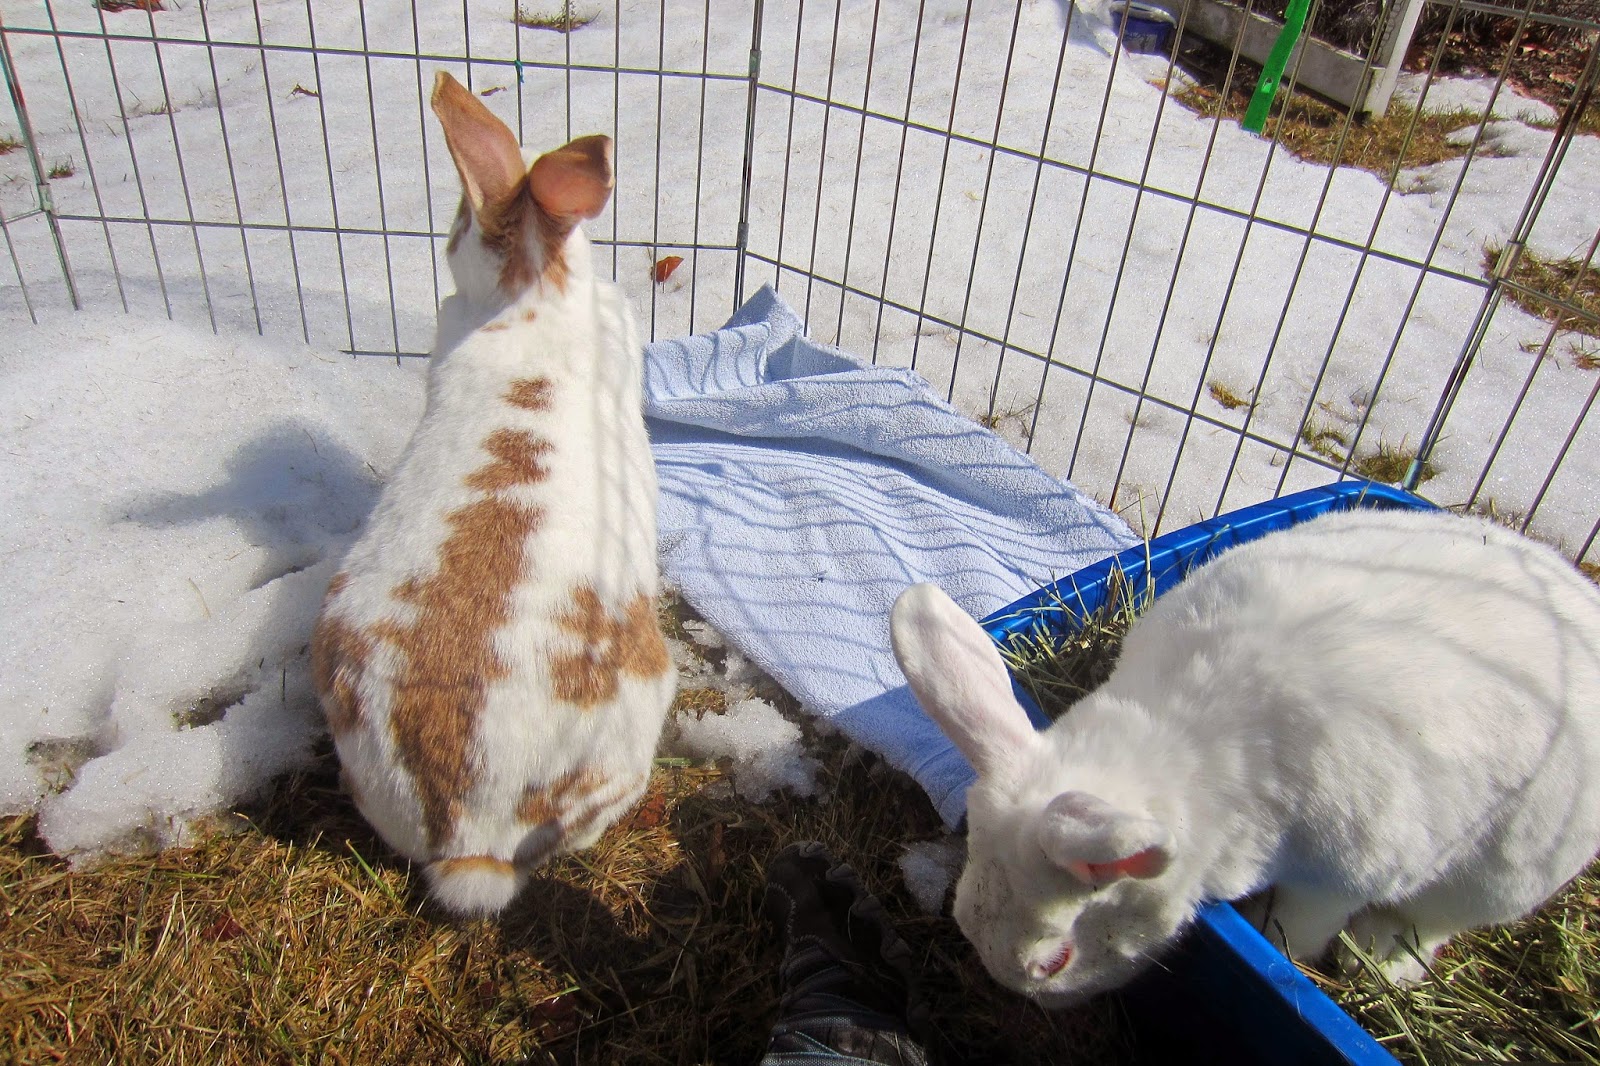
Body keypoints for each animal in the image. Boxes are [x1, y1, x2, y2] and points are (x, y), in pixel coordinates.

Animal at [890, 506, 1600, 1006]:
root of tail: (1580, 594)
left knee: (1435, 923)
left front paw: (1285, 949)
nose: (1023, 997)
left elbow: (1303, 928)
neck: (1179, 742)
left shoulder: (1334, 881)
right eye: (960, 909)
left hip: (1500, 877)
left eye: (1053, 962)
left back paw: (1380, 960)